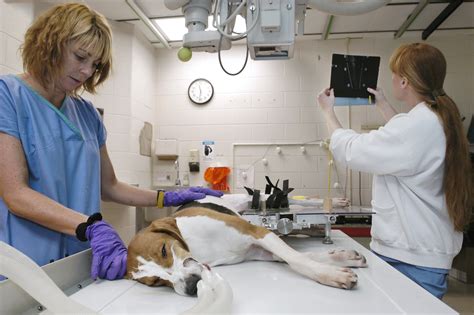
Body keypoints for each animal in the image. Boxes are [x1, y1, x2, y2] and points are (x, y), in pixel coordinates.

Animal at [126, 196, 366, 298]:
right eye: (155, 282)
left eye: (164, 250)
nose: (192, 287)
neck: (196, 245)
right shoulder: (257, 250)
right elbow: (298, 256)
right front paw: (342, 258)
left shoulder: (256, 231)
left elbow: (298, 260)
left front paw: (331, 275)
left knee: (299, 202)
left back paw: (336, 203)